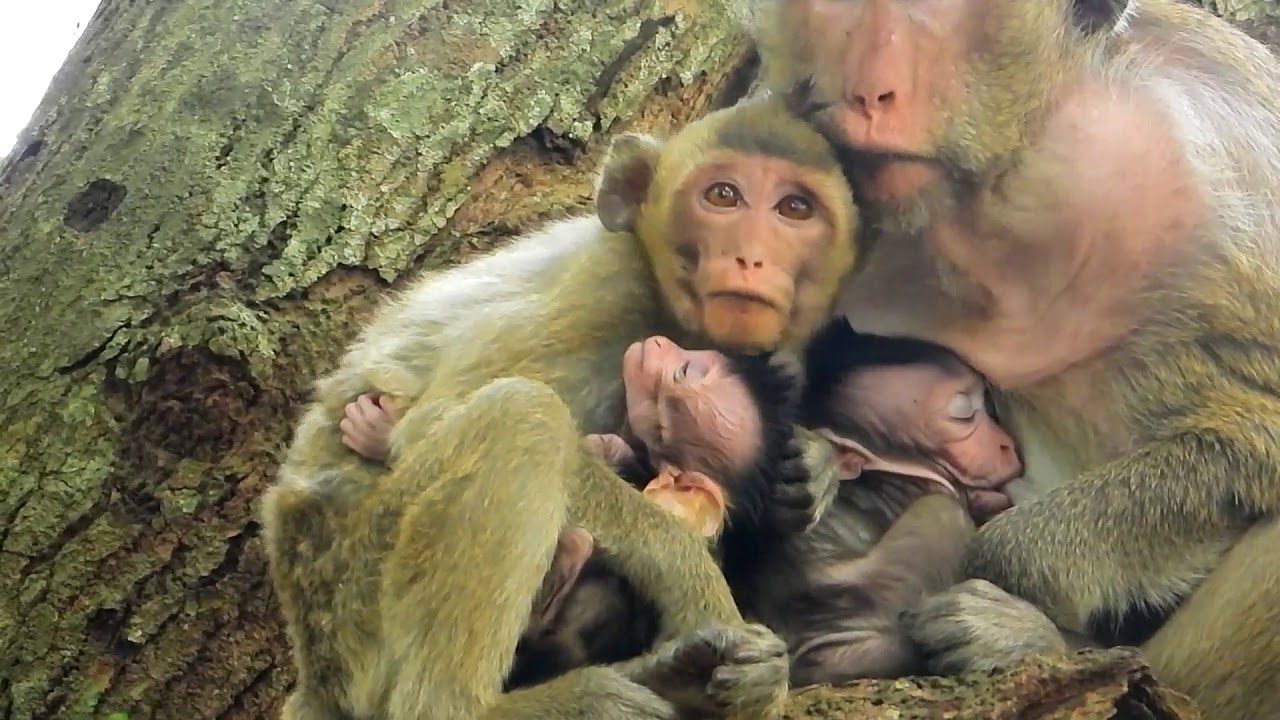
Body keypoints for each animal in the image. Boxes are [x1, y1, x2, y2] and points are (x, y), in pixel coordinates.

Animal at [260, 84, 862, 720]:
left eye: (794, 208)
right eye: (723, 195)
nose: (752, 257)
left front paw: (812, 469)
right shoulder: (603, 291)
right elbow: (427, 424)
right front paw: (688, 573)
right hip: (356, 595)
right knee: (521, 415)